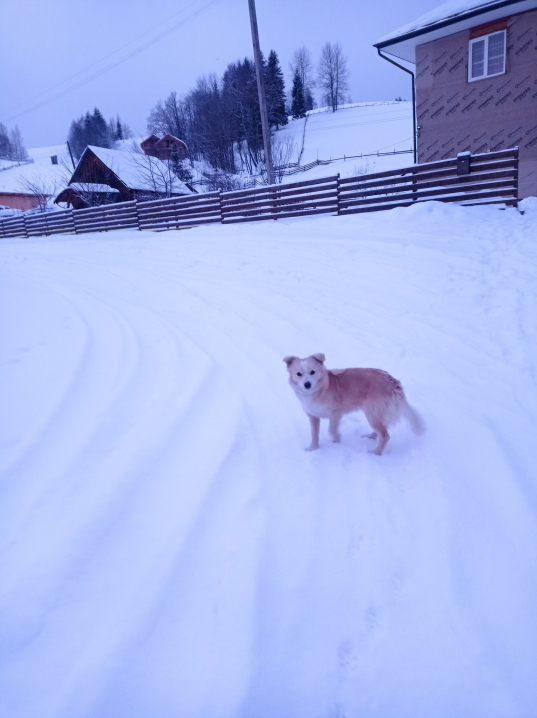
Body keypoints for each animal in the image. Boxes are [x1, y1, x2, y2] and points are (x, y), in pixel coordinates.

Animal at [284, 354, 422, 456]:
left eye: (312, 372)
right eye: (298, 374)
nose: (307, 384)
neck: (321, 388)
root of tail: (393, 382)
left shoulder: (335, 414)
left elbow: (332, 430)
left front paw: (336, 442)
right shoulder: (313, 416)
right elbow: (314, 434)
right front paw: (313, 449)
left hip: (372, 413)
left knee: (385, 435)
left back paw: (375, 453)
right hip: (376, 414)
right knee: (382, 429)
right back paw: (370, 437)